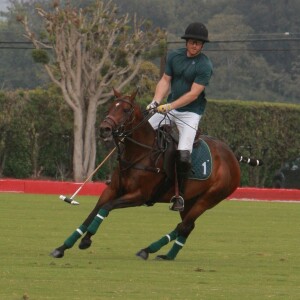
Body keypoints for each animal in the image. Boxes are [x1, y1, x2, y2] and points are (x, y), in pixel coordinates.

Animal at [50, 89, 262, 260]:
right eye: (111, 106)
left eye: (125, 110)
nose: (105, 129)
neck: (139, 153)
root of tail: (231, 155)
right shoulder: (112, 190)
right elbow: (93, 212)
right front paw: (63, 247)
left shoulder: (139, 196)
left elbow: (106, 208)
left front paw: (86, 241)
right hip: (191, 199)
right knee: (188, 226)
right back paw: (167, 256)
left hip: (210, 198)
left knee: (183, 226)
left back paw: (147, 250)